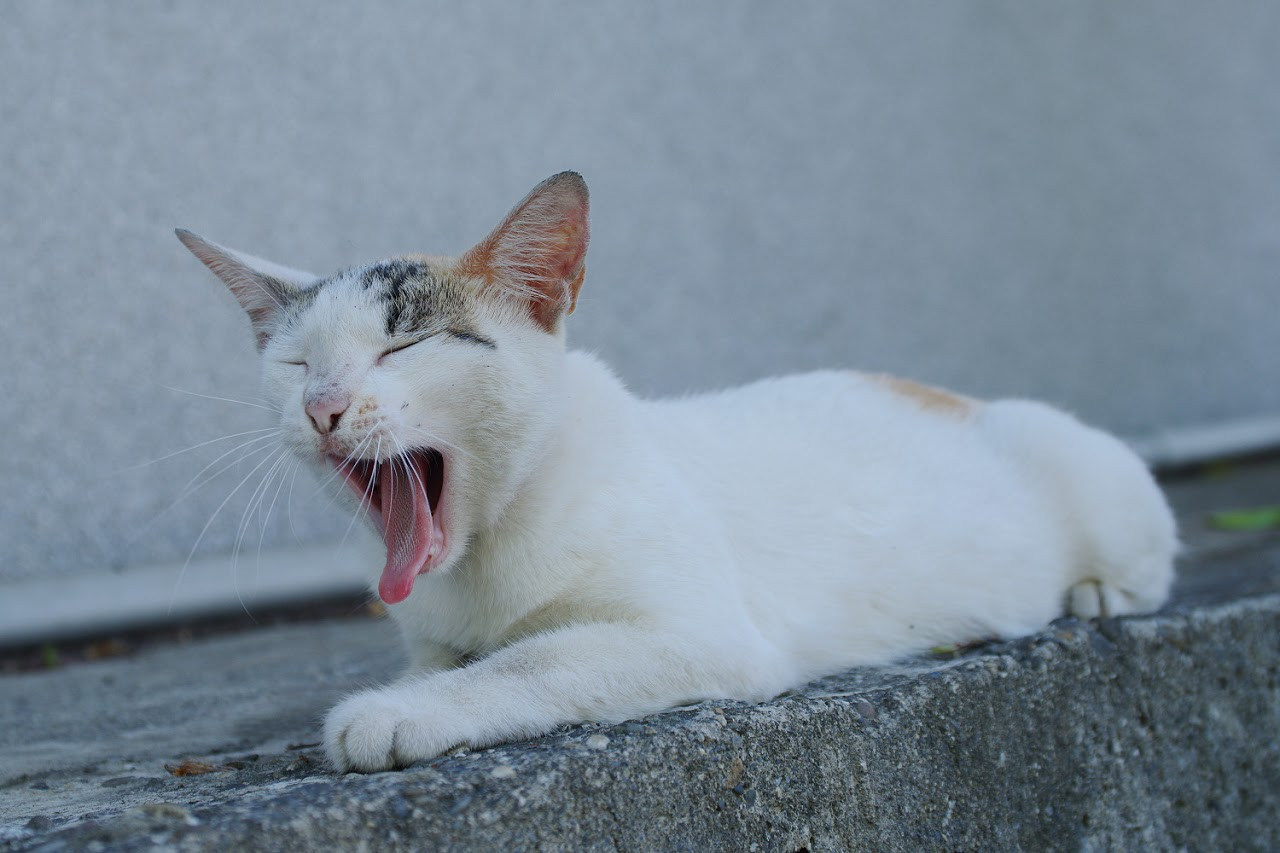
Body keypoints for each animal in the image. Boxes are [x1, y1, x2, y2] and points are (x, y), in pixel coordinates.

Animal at [175, 169, 1172, 768]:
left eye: (404, 346)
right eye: (295, 361)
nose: (322, 404)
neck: (485, 555)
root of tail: (958, 394)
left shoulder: (702, 635)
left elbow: (536, 658)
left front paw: (395, 711)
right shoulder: (434, 632)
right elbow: (449, 661)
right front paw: (416, 687)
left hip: (1092, 471)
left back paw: (1099, 592)